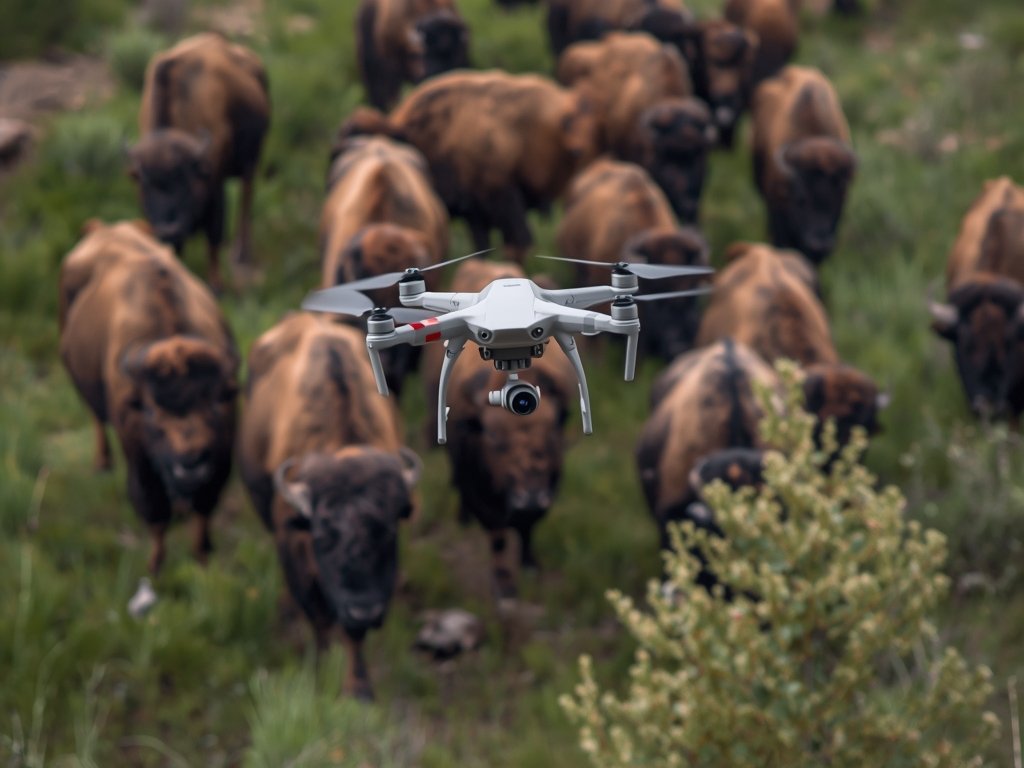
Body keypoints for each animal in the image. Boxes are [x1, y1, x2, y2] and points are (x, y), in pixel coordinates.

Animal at [59, 219, 238, 581]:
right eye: (153, 411)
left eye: (215, 403)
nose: (191, 461)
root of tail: (103, 229)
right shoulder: (141, 462)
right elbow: (155, 513)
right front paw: (155, 567)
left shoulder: (221, 459)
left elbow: (205, 510)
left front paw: (202, 558)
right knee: (96, 417)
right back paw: (102, 463)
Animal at [129, 33, 270, 292]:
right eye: (145, 185)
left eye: (185, 181)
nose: (168, 230)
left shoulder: (215, 186)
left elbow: (214, 234)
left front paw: (216, 285)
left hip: (252, 159)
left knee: (246, 196)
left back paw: (241, 253)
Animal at [238, 312, 421, 700]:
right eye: (322, 536)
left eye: (388, 533)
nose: (364, 611)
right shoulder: (294, 548)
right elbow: (318, 615)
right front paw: (322, 670)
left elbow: (352, 635)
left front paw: (360, 688)